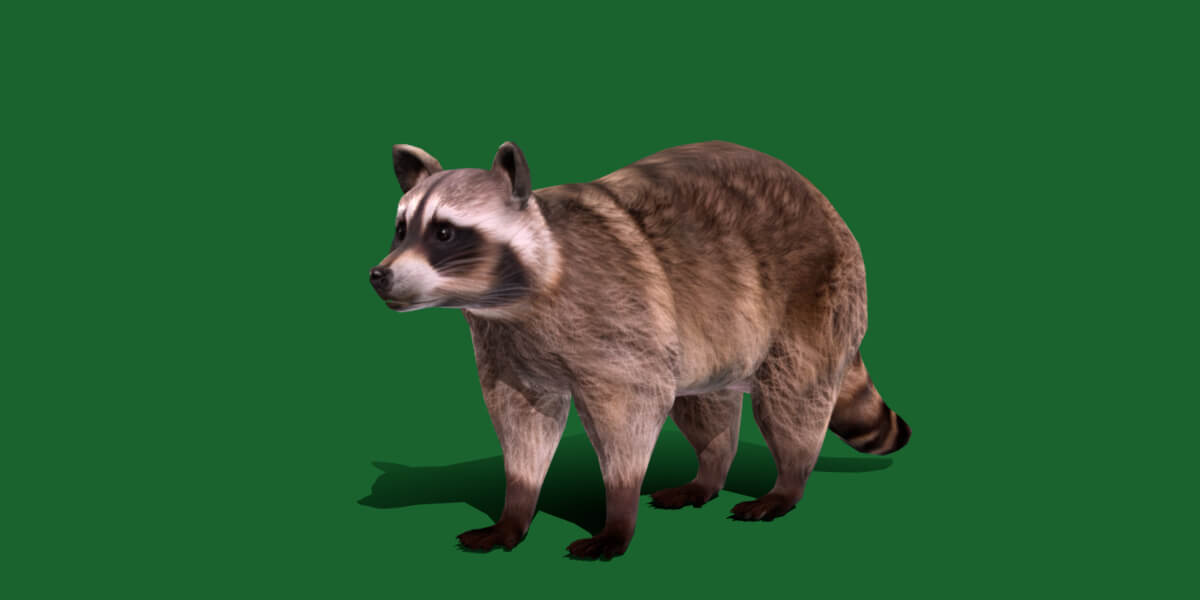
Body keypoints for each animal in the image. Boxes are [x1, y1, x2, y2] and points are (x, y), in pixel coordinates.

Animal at [369, 141, 910, 559]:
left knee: (792, 396)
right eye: (401, 228)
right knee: (705, 406)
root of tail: (826, 205)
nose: (379, 275)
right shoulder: (508, 348)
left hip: (812, 297)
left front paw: (618, 512)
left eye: (444, 232)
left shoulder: (617, 319)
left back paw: (787, 482)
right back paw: (710, 472)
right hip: (709, 334)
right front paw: (517, 505)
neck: (514, 301)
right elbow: (523, 420)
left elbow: (631, 410)